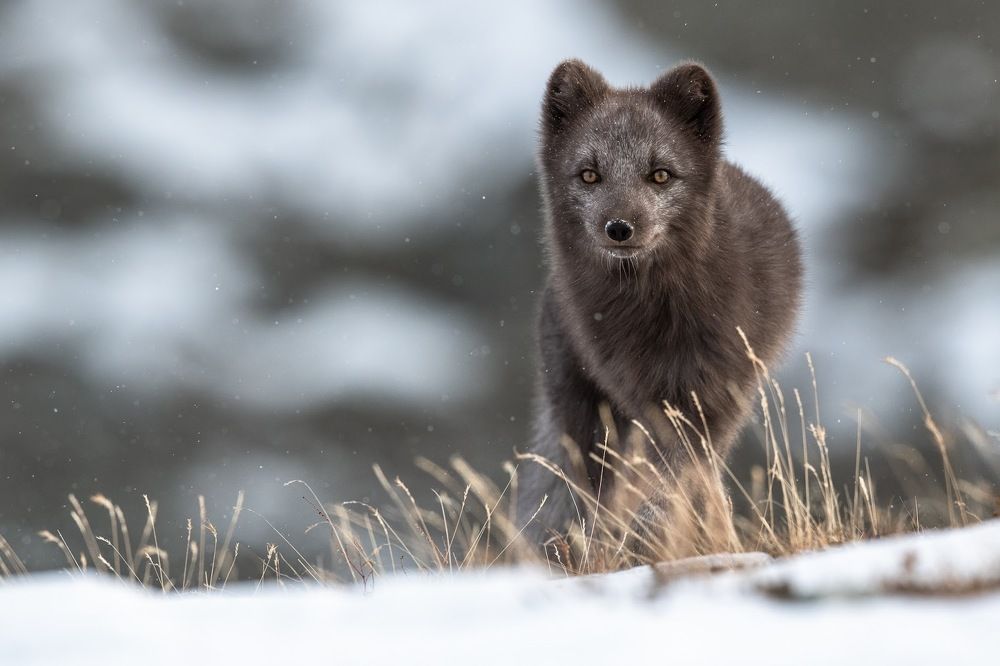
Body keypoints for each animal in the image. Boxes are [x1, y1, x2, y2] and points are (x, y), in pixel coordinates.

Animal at [516, 60, 803, 560]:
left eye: (661, 175)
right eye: (589, 175)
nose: (619, 228)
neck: (654, 313)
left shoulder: (709, 395)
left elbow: (682, 476)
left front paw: (670, 535)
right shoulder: (644, 396)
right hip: (582, 409)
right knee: (589, 488)